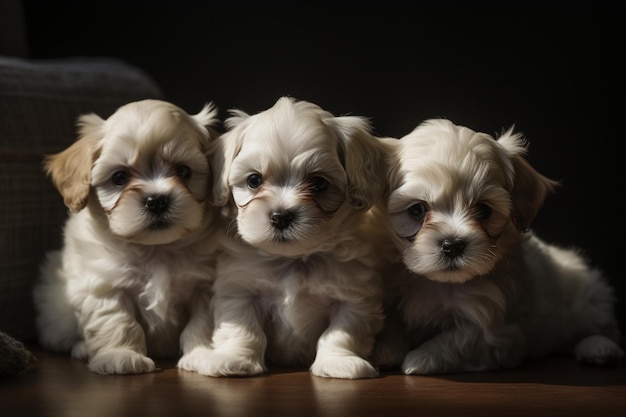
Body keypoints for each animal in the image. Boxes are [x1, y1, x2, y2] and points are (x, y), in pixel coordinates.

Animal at [33, 98, 224, 374]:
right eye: (119, 178)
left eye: (183, 172)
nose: (157, 201)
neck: (157, 248)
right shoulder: (106, 284)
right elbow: (118, 321)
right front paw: (120, 356)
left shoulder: (205, 286)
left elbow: (202, 322)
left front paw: (203, 354)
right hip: (56, 312)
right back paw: (82, 349)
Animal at [176, 96, 390, 378]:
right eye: (254, 180)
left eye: (319, 184)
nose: (281, 216)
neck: (293, 260)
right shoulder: (239, 290)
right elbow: (245, 329)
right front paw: (234, 359)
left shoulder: (354, 297)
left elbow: (340, 333)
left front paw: (339, 363)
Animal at [376, 118, 620, 374]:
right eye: (417, 210)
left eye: (484, 210)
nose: (452, 245)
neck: (439, 283)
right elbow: (391, 321)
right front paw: (386, 350)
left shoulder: (496, 328)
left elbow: (460, 339)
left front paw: (421, 358)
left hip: (586, 297)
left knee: (601, 327)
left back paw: (599, 348)